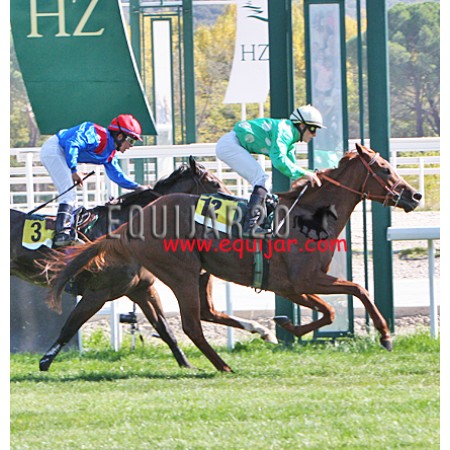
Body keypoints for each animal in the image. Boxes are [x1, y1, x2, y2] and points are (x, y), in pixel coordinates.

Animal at [11, 156, 276, 371]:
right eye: (215, 184)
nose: (242, 208)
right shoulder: (98, 292)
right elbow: (70, 326)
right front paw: (45, 361)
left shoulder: (142, 290)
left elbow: (166, 330)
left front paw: (187, 364)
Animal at [46, 143, 422, 372]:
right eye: (384, 169)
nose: (415, 195)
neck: (309, 216)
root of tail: (132, 222)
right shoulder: (305, 279)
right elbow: (358, 289)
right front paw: (385, 335)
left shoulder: (291, 286)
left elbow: (328, 311)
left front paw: (284, 326)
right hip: (181, 272)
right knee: (191, 324)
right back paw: (222, 365)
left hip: (201, 272)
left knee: (204, 314)